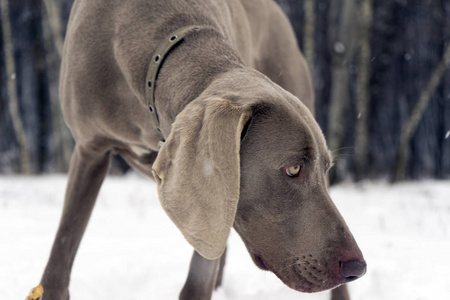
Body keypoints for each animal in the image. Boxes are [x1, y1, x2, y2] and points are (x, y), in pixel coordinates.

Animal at [40, 0, 368, 298]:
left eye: (324, 167)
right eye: (294, 168)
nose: (357, 268)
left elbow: (198, 279)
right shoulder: (89, 150)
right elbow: (61, 252)